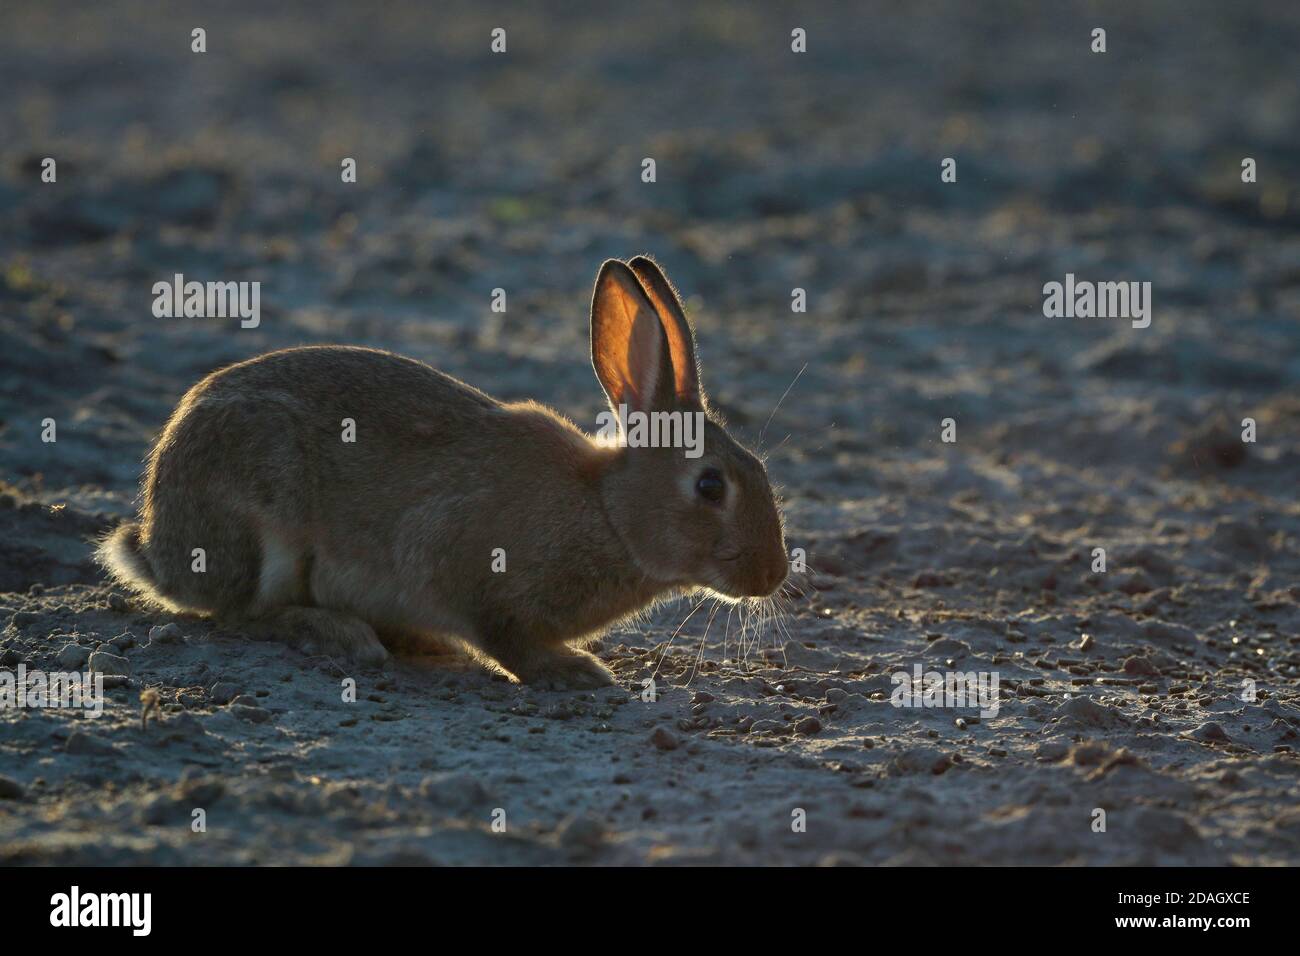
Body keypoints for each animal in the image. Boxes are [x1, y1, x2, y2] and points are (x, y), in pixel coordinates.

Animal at [96, 254, 785, 686]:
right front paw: (574, 670)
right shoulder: (463, 567)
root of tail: (158, 547)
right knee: (243, 613)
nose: (774, 574)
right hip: (265, 519)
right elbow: (506, 638)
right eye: (711, 485)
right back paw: (343, 634)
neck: (608, 510)